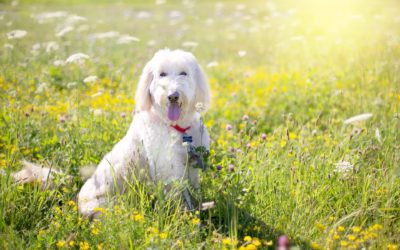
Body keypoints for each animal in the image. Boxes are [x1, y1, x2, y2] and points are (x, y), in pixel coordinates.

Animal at [10, 48, 211, 217]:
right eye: (162, 74)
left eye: (184, 73)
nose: (173, 96)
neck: (175, 127)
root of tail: (76, 197)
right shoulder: (170, 170)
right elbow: (179, 197)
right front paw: (186, 217)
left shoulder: (190, 166)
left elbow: (193, 190)